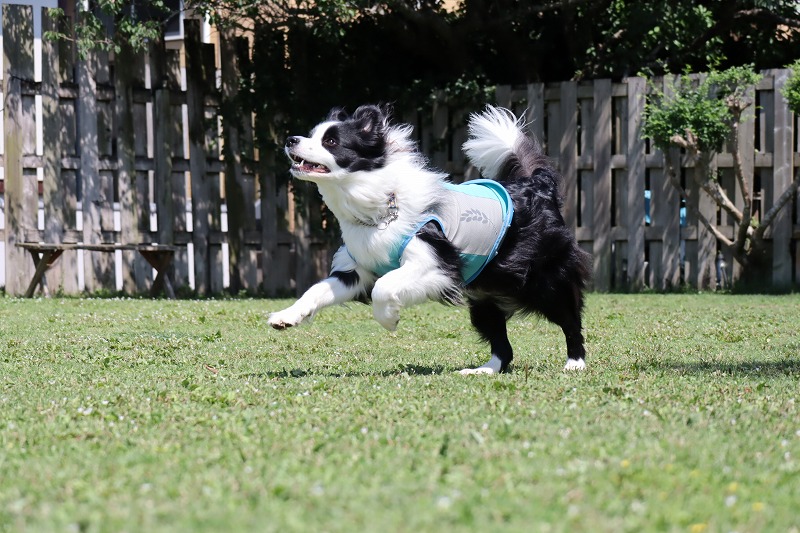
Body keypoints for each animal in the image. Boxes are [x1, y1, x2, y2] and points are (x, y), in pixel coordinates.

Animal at [269, 104, 591, 374]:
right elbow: (317, 290)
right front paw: (285, 316)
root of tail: (537, 184)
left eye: (331, 142)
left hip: (544, 280)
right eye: (312, 134)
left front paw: (389, 318)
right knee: (502, 343)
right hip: (484, 294)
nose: (291, 139)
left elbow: (384, 287)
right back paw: (483, 370)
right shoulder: (358, 270)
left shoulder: (435, 263)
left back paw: (575, 363)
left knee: (569, 318)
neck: (382, 205)